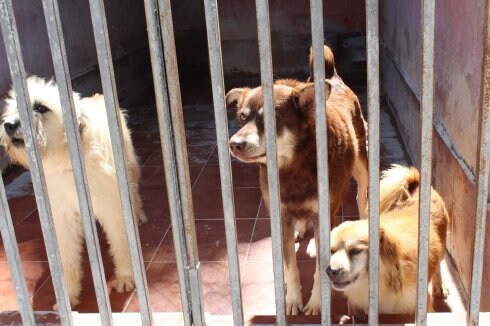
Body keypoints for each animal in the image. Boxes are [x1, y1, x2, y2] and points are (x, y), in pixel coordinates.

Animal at [0, 76, 146, 308]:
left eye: (40, 108)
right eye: (13, 109)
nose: (8, 125)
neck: (68, 161)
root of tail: (98, 96)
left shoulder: (112, 208)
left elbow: (123, 242)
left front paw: (125, 276)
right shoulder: (63, 217)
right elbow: (67, 257)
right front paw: (68, 294)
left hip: (129, 168)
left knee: (133, 193)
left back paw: (138, 214)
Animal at [328, 166, 450, 314]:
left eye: (356, 251)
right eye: (331, 251)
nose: (330, 271)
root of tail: (416, 180)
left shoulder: (422, 305)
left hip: (442, 248)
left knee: (438, 266)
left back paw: (439, 286)